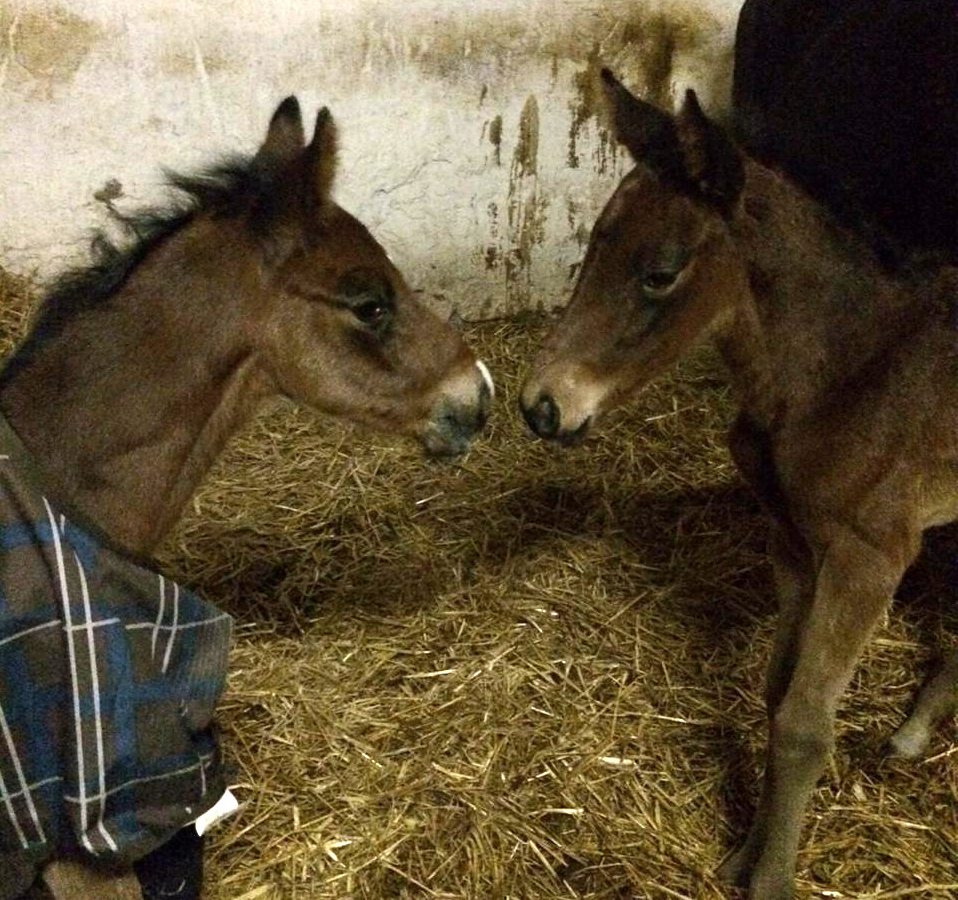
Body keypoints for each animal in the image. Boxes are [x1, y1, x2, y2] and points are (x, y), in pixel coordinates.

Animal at [524, 72, 958, 900]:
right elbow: (774, 692)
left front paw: (770, 881)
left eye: (660, 273)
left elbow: (804, 726)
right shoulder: (792, 542)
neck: (845, 372)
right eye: (593, 245)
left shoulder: (869, 559)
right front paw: (742, 855)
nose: (541, 405)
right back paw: (915, 731)